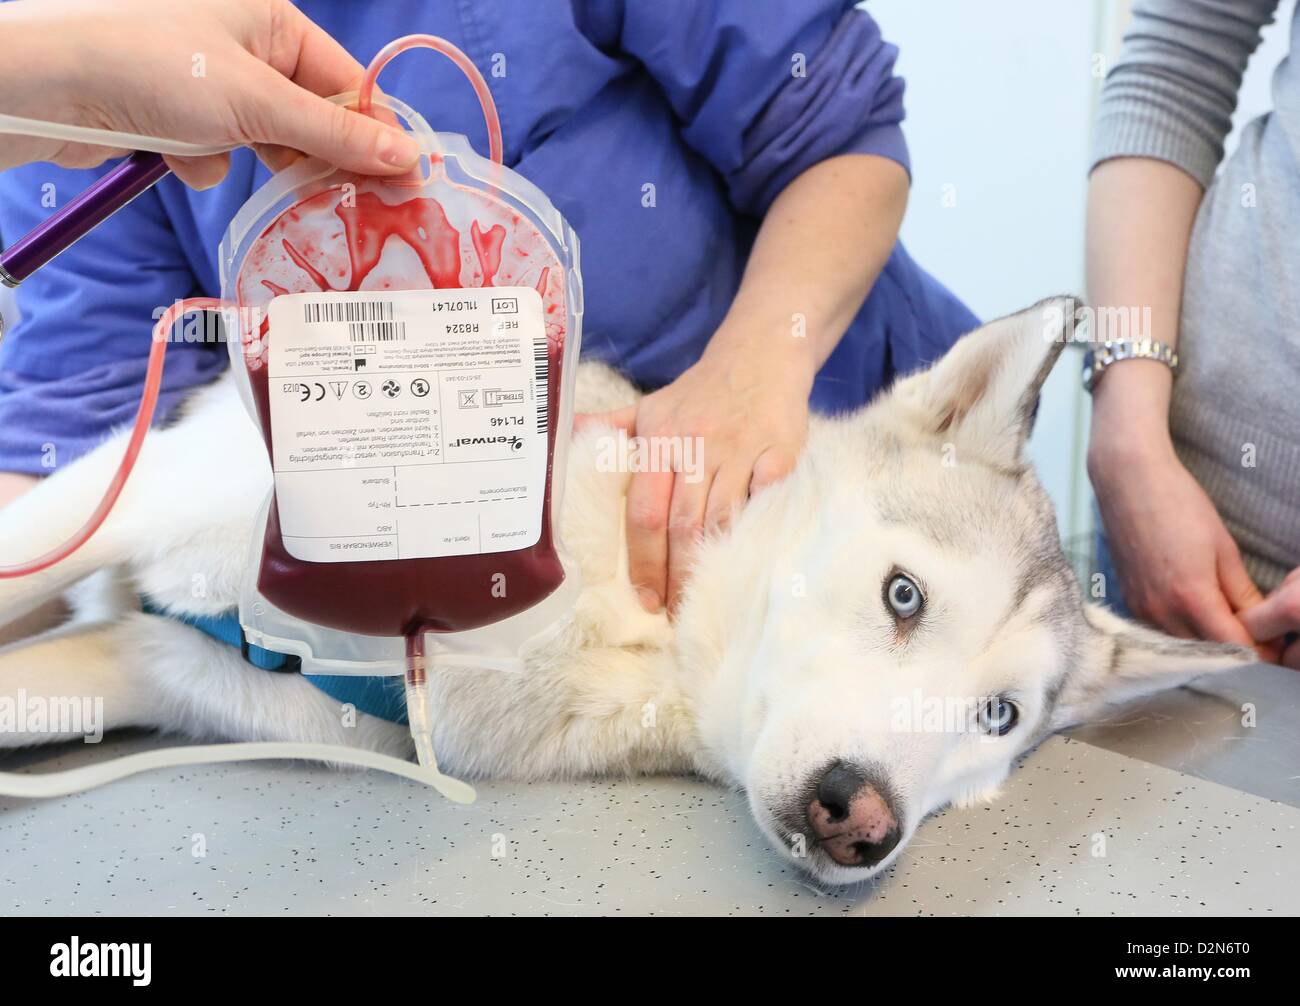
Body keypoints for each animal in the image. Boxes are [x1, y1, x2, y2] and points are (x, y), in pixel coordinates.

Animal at [0, 298, 1248, 883]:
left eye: (995, 716)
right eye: (905, 598)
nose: (862, 819)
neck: (632, 623)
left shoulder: (158, 666)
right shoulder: (145, 498)